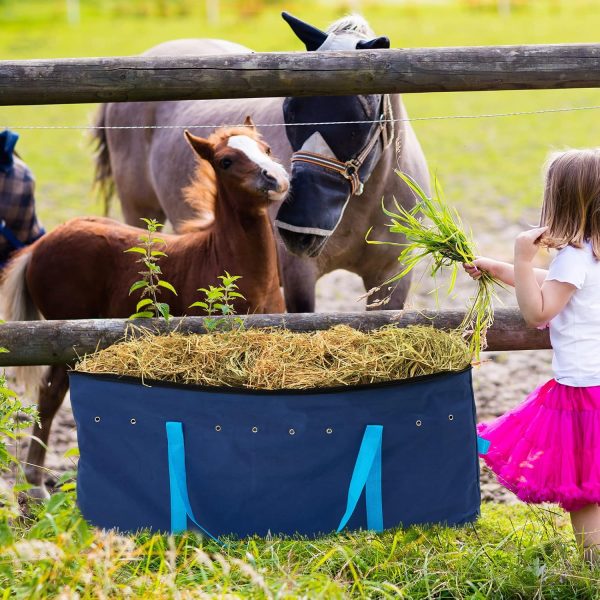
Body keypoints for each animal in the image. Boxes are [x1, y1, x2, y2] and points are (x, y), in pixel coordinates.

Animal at [94, 12, 428, 312]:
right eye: (290, 108)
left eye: (359, 118)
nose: (297, 228)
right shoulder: (299, 276)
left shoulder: (391, 276)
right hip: (140, 211)